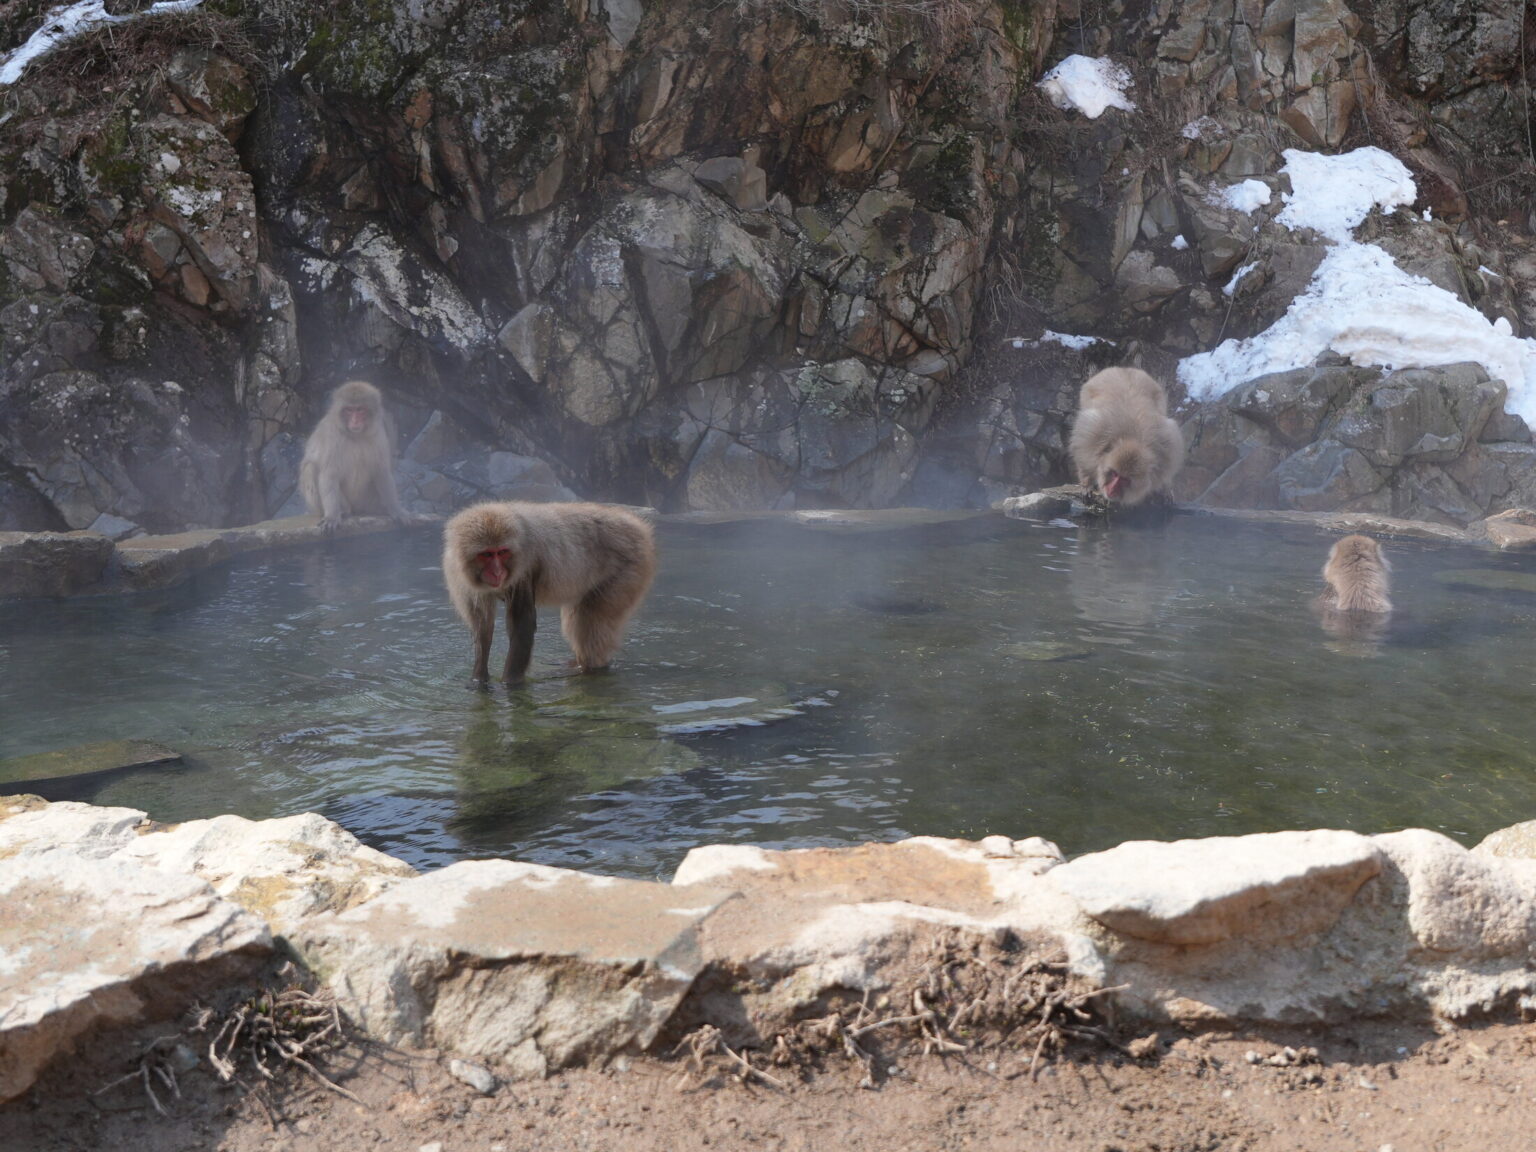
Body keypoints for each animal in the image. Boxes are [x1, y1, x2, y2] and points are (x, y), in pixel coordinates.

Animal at [298, 380, 407, 532]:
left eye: (360, 410)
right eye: (349, 410)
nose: (355, 421)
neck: (356, 436)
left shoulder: (378, 434)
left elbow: (382, 472)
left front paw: (396, 509)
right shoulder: (333, 437)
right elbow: (329, 474)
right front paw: (332, 516)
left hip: (369, 501)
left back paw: (381, 509)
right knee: (311, 468)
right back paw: (343, 511)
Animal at [442, 501, 656, 684]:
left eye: (502, 552)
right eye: (487, 554)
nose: (497, 572)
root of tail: (637, 525)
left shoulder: (525, 568)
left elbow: (522, 624)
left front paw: (509, 684)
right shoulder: (460, 577)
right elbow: (483, 627)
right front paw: (479, 680)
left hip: (627, 571)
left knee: (590, 623)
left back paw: (587, 669)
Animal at [1068, 367, 1185, 507]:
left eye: (1125, 480)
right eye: (1114, 474)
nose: (1112, 489)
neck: (1133, 440)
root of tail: (1124, 368)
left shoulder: (1167, 451)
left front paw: (1164, 489)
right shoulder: (1093, 433)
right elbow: (1083, 457)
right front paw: (1087, 484)